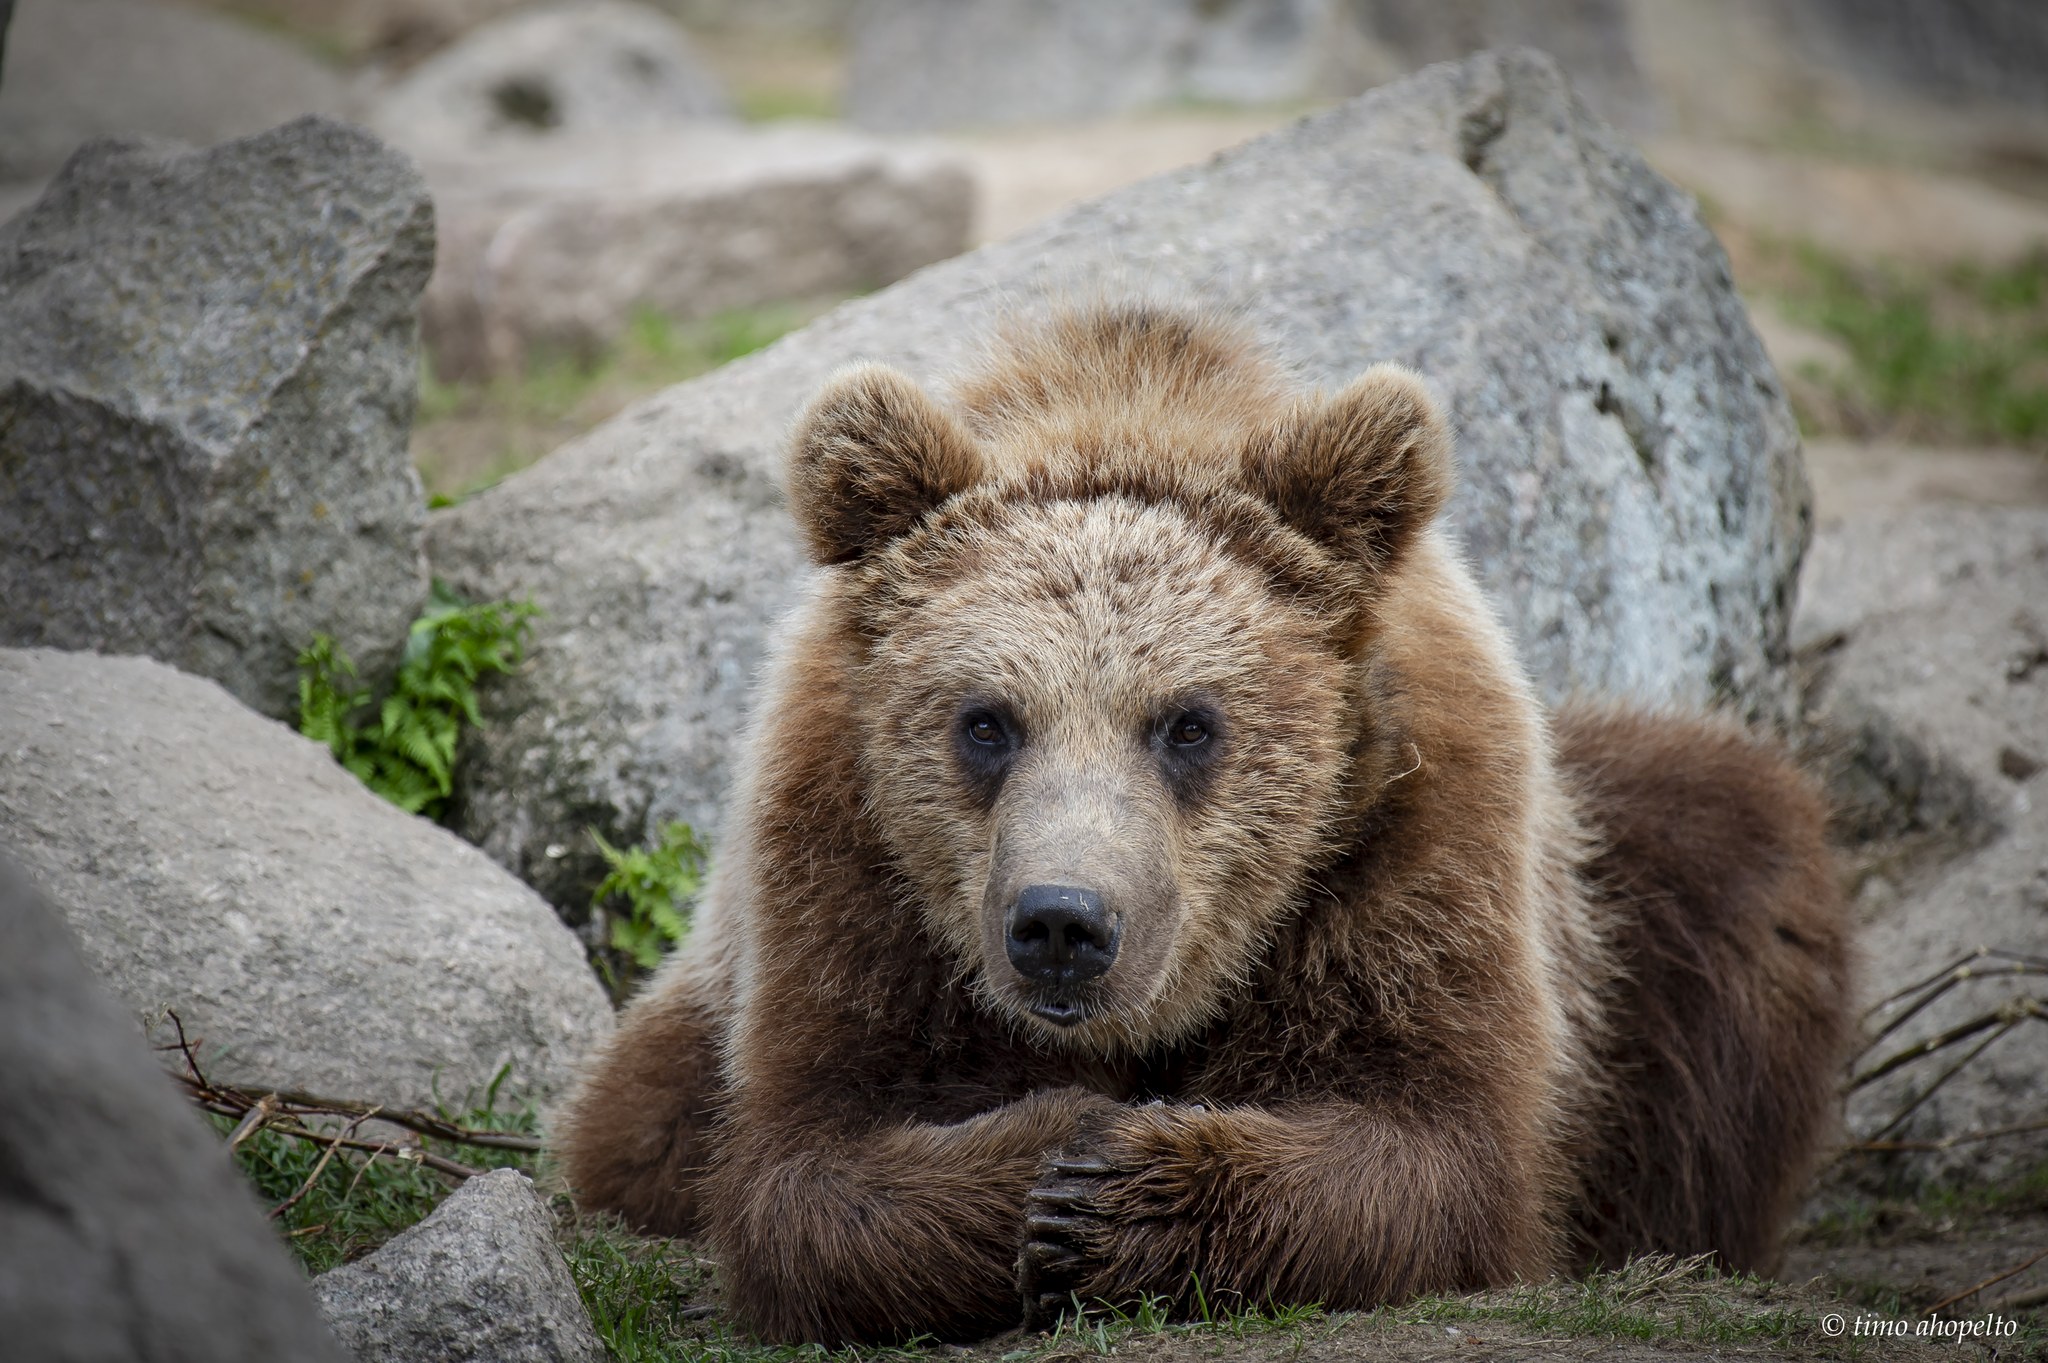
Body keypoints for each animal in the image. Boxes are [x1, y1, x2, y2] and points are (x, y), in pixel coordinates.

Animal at [557, 300, 1859, 1334]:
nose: (1062, 924)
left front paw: (1111, 1187)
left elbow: (1436, 1145)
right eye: (986, 720)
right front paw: (1043, 1157)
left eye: (1187, 722)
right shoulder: (846, 872)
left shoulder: (1419, 846)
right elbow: (808, 1170)